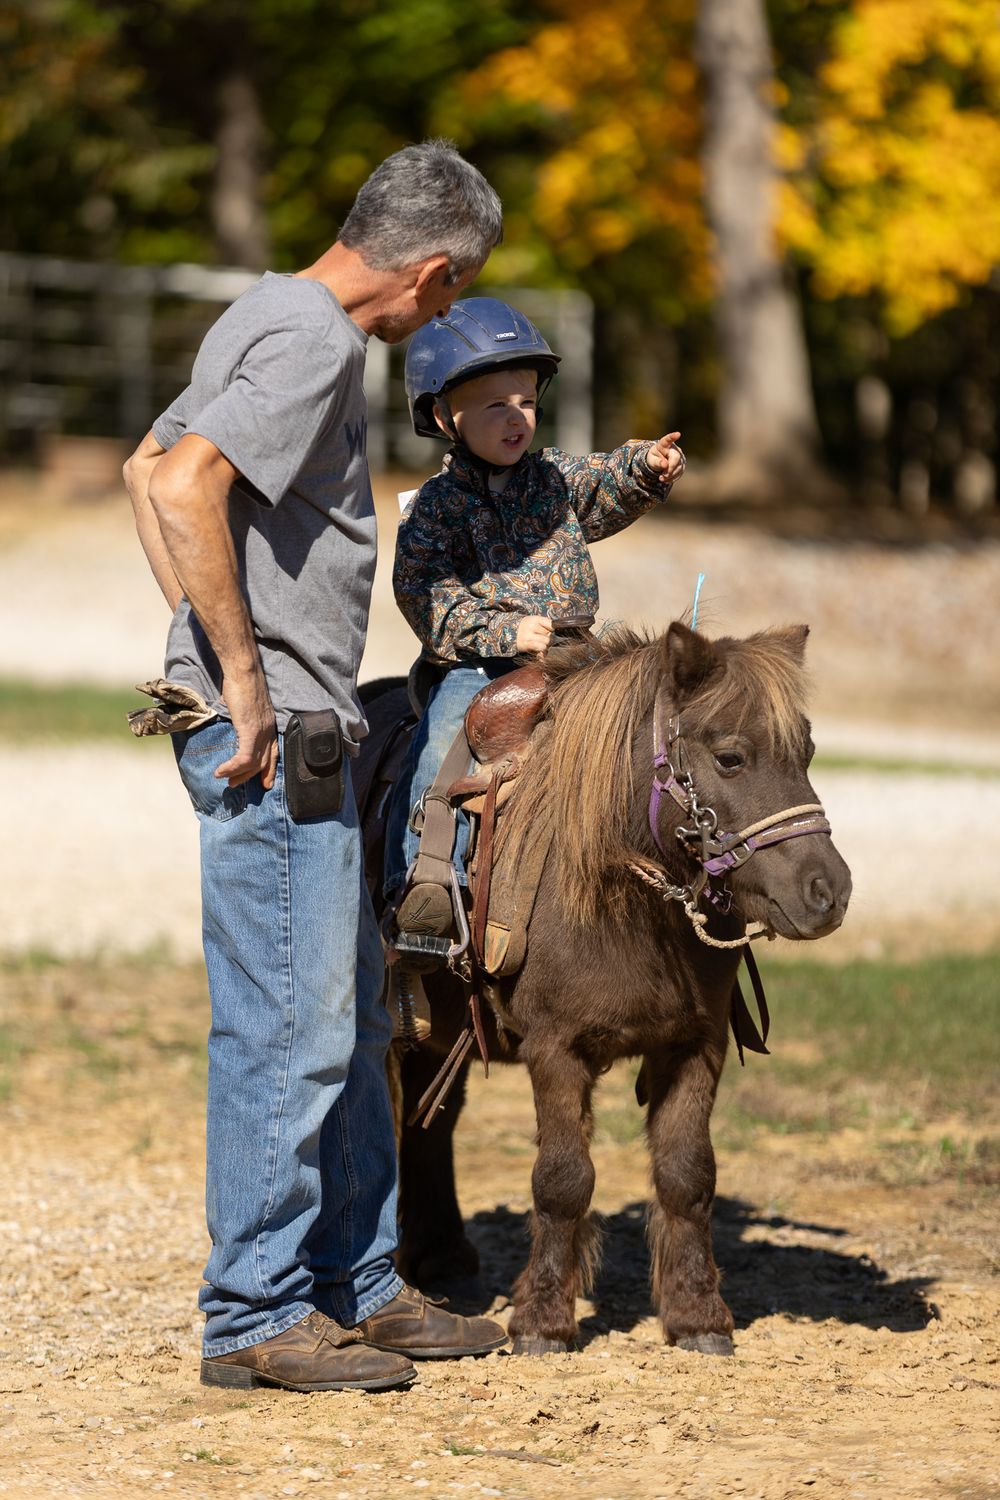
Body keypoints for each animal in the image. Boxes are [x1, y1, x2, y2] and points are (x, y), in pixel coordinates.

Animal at [359, 620, 852, 1356]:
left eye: (808, 753)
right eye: (731, 757)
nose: (828, 891)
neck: (614, 895)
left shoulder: (695, 1047)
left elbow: (688, 1175)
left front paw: (698, 1315)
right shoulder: (555, 1051)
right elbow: (563, 1180)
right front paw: (543, 1321)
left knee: (431, 1127)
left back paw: (443, 1260)